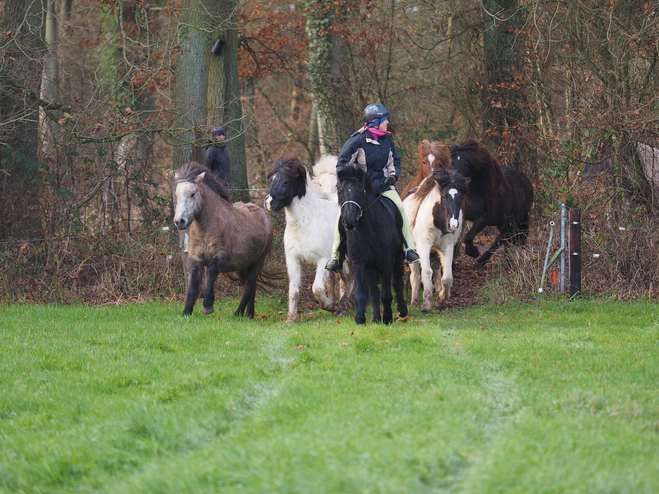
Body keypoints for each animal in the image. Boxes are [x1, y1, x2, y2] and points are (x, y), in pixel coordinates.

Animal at [174, 162, 274, 316]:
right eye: (177, 195)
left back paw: (238, 313)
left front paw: (208, 305)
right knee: (251, 288)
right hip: (242, 266)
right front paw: (187, 312)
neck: (206, 230)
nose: (179, 221)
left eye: (192, 194)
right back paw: (249, 315)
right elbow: (193, 285)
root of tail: (265, 216)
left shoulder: (220, 255)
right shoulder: (195, 257)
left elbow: (211, 273)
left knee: (249, 287)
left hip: (256, 263)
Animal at [266, 156, 354, 322]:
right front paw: (291, 318)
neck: (306, 223)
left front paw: (329, 306)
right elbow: (293, 291)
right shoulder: (293, 260)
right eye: (270, 181)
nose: (268, 203)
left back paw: (342, 308)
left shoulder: (323, 260)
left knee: (351, 280)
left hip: (346, 259)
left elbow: (316, 288)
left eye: (286, 182)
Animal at [338, 168, 410, 326]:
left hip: (397, 260)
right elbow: (361, 293)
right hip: (370, 268)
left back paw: (402, 311)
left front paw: (388, 318)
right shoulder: (358, 264)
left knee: (398, 283)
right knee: (374, 292)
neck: (366, 232)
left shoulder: (386, 263)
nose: (349, 222)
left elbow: (386, 293)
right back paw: (376, 318)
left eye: (360, 192)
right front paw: (360, 319)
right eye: (341, 191)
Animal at [402, 168, 470, 310]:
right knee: (415, 275)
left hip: (436, 251)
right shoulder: (423, 246)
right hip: (414, 252)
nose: (453, 226)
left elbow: (447, 277)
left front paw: (442, 297)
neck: (438, 220)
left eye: (461, 197)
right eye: (444, 197)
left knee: (437, 271)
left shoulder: (447, 247)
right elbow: (426, 272)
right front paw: (427, 304)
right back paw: (414, 301)